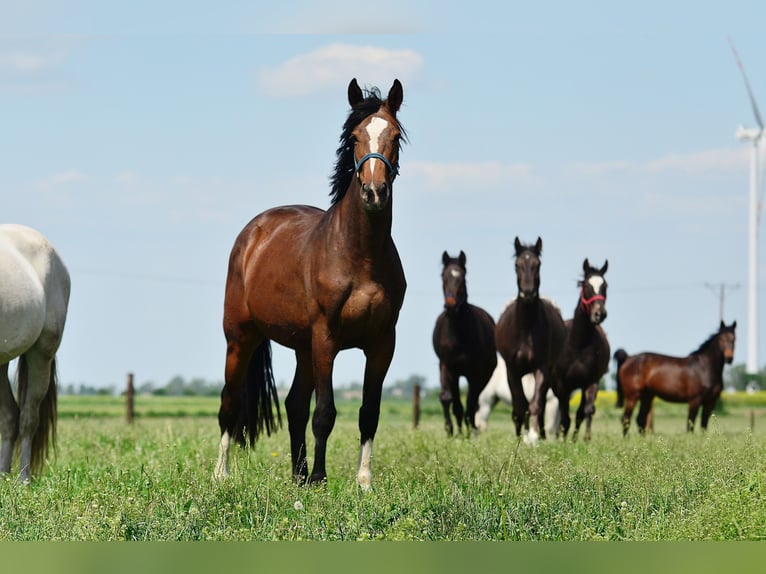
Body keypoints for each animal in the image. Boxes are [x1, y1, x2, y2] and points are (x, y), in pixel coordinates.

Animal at [216, 79, 408, 490]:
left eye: (395, 136)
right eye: (353, 137)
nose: (374, 193)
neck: (360, 255)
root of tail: (253, 233)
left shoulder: (382, 344)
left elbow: (369, 413)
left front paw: (363, 482)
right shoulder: (326, 339)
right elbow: (325, 413)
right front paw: (321, 477)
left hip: (302, 348)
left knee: (293, 405)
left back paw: (298, 475)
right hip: (241, 337)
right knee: (229, 403)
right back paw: (221, 474)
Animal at [432, 251, 498, 436]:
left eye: (462, 278)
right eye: (443, 276)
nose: (451, 306)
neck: (458, 337)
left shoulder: (475, 373)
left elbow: (470, 401)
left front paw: (470, 431)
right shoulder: (447, 366)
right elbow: (448, 398)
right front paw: (450, 430)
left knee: (473, 401)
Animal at [496, 238, 568, 446]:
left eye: (538, 264)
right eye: (517, 265)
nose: (528, 293)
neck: (525, 329)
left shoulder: (542, 367)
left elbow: (536, 404)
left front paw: (534, 437)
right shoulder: (512, 370)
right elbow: (520, 405)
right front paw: (523, 436)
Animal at [552, 258, 612, 444]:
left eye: (605, 285)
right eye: (586, 285)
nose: (600, 314)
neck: (578, 345)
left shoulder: (591, 382)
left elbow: (586, 411)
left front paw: (585, 439)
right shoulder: (562, 384)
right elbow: (564, 416)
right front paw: (562, 440)